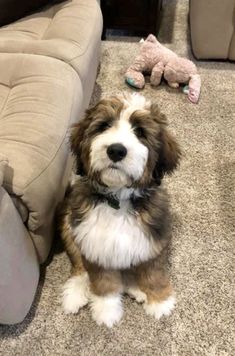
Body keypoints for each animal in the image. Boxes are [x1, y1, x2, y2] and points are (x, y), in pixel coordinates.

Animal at [59, 92, 181, 328]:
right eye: (103, 126)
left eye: (140, 132)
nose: (116, 150)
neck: (118, 199)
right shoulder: (94, 246)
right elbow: (103, 283)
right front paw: (106, 311)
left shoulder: (153, 240)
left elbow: (152, 272)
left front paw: (159, 301)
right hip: (69, 224)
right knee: (79, 267)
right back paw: (75, 294)